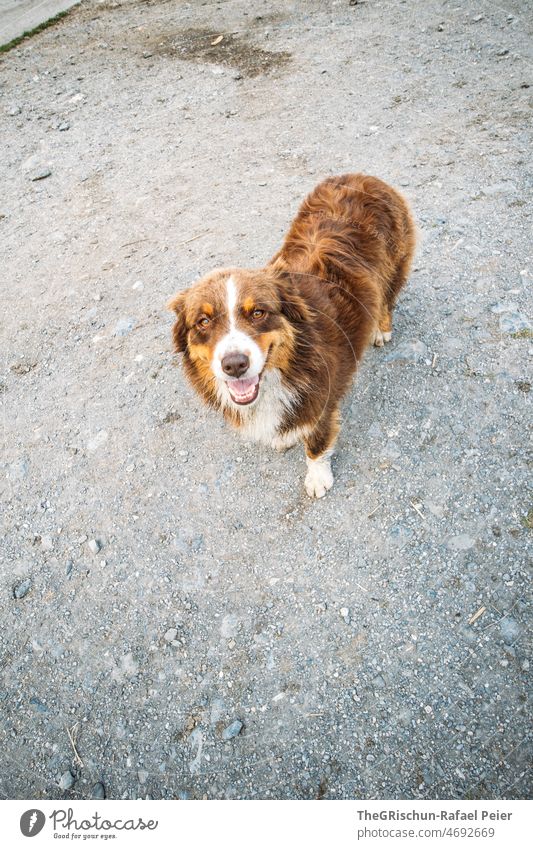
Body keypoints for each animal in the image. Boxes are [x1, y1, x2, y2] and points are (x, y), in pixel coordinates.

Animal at [168, 176, 414, 500]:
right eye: (203, 321)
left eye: (258, 313)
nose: (234, 365)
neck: (288, 363)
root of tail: (364, 177)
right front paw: (284, 437)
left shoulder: (322, 395)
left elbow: (317, 441)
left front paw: (317, 476)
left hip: (394, 266)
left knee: (387, 299)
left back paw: (381, 329)